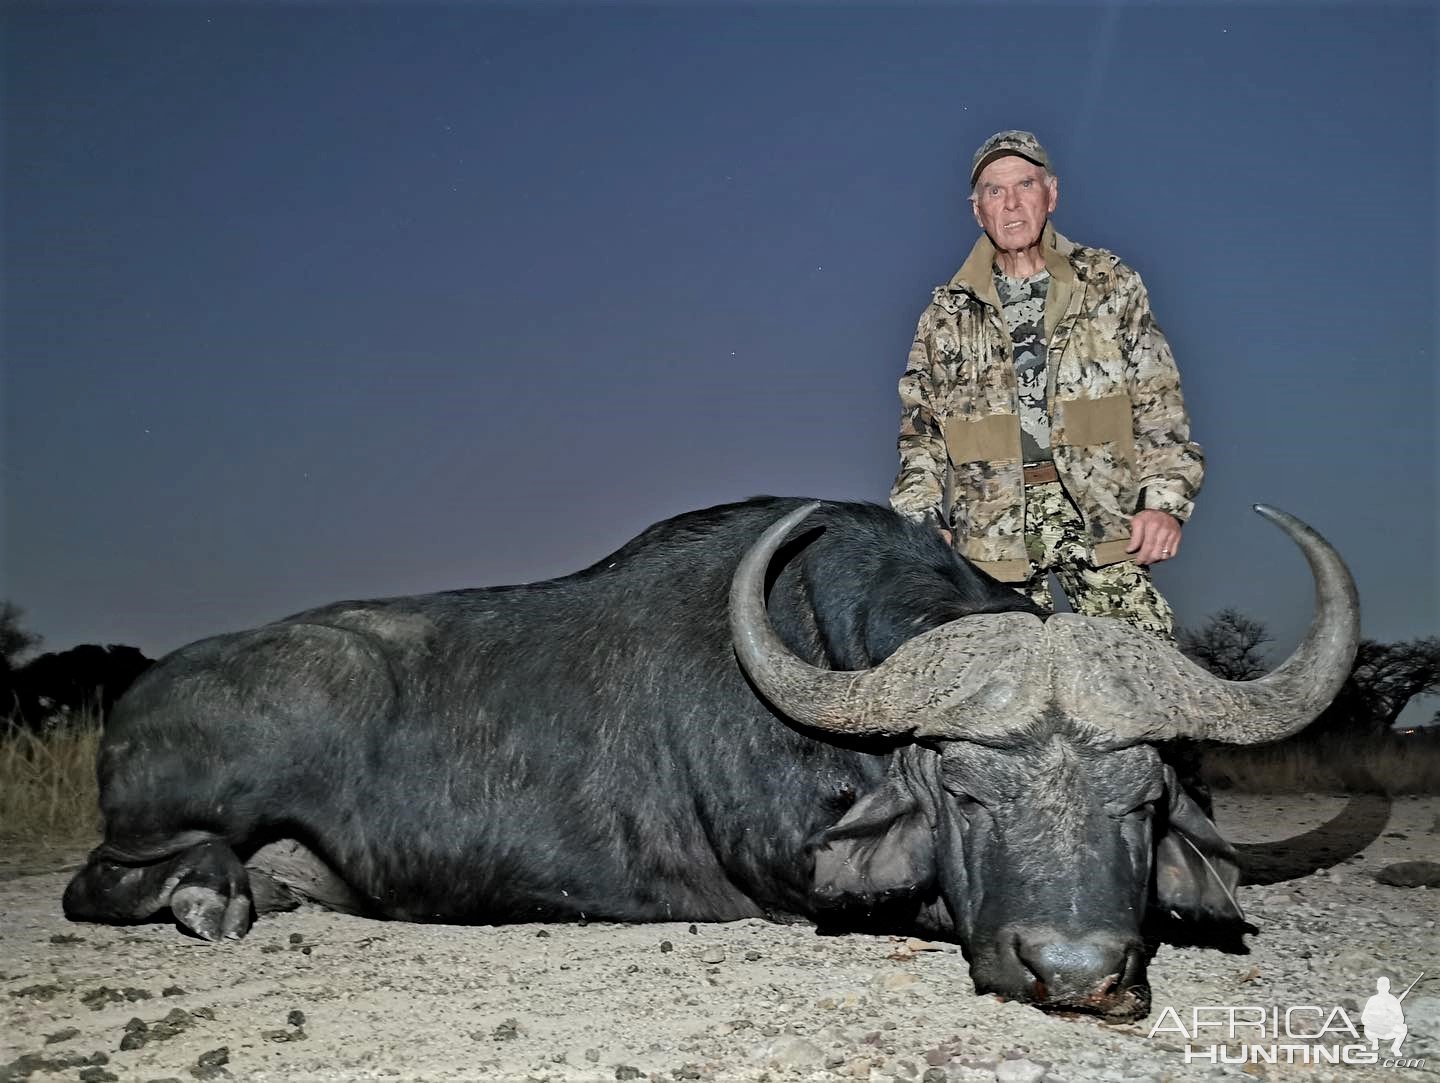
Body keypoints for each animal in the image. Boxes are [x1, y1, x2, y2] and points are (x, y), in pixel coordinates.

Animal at [61, 495, 1353, 1019]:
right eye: (966, 789)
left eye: (1142, 798)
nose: (1075, 970)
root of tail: (137, 699)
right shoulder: (812, 886)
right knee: (100, 883)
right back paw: (209, 897)